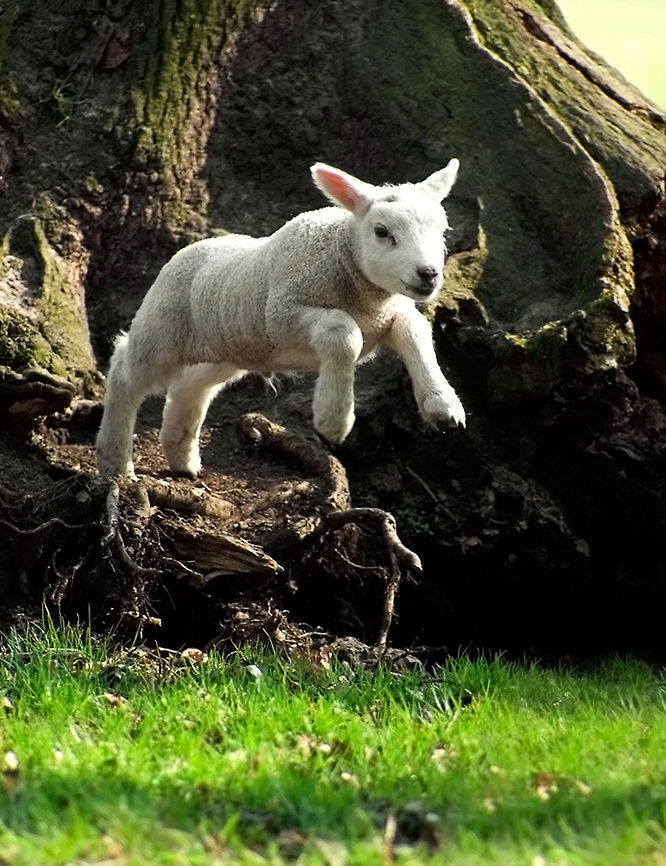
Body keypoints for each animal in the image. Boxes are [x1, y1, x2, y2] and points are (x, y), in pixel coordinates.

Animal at [95, 160, 466, 478]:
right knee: (125, 370)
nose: (428, 274)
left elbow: (414, 330)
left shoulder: (387, 316)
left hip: (228, 348)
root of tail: (190, 249)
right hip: (162, 328)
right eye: (382, 231)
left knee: (190, 387)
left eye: (443, 230)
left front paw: (442, 405)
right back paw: (115, 463)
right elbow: (341, 332)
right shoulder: (284, 316)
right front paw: (333, 417)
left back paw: (181, 459)